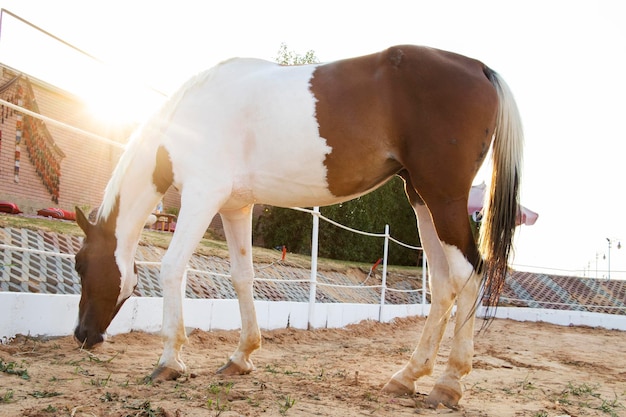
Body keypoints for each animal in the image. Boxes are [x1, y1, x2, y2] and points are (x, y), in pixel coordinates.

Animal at [73, 44, 520, 406]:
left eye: (80, 265)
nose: (81, 335)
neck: (186, 116)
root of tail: (479, 68)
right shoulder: (235, 208)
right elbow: (242, 277)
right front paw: (241, 357)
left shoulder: (202, 198)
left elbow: (171, 268)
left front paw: (169, 361)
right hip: (421, 199)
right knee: (443, 285)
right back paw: (407, 377)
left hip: (443, 199)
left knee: (469, 274)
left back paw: (448, 384)